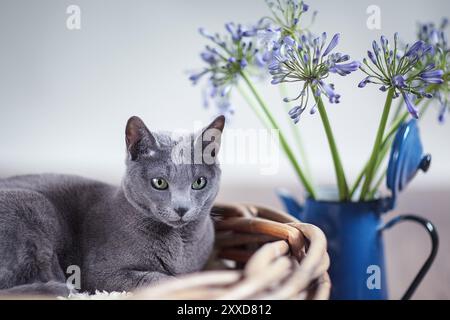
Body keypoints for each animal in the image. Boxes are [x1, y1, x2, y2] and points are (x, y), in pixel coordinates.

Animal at [0, 114, 225, 296]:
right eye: (159, 182)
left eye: (199, 182)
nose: (181, 208)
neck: (181, 245)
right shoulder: (100, 273)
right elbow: (161, 279)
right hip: (35, 205)